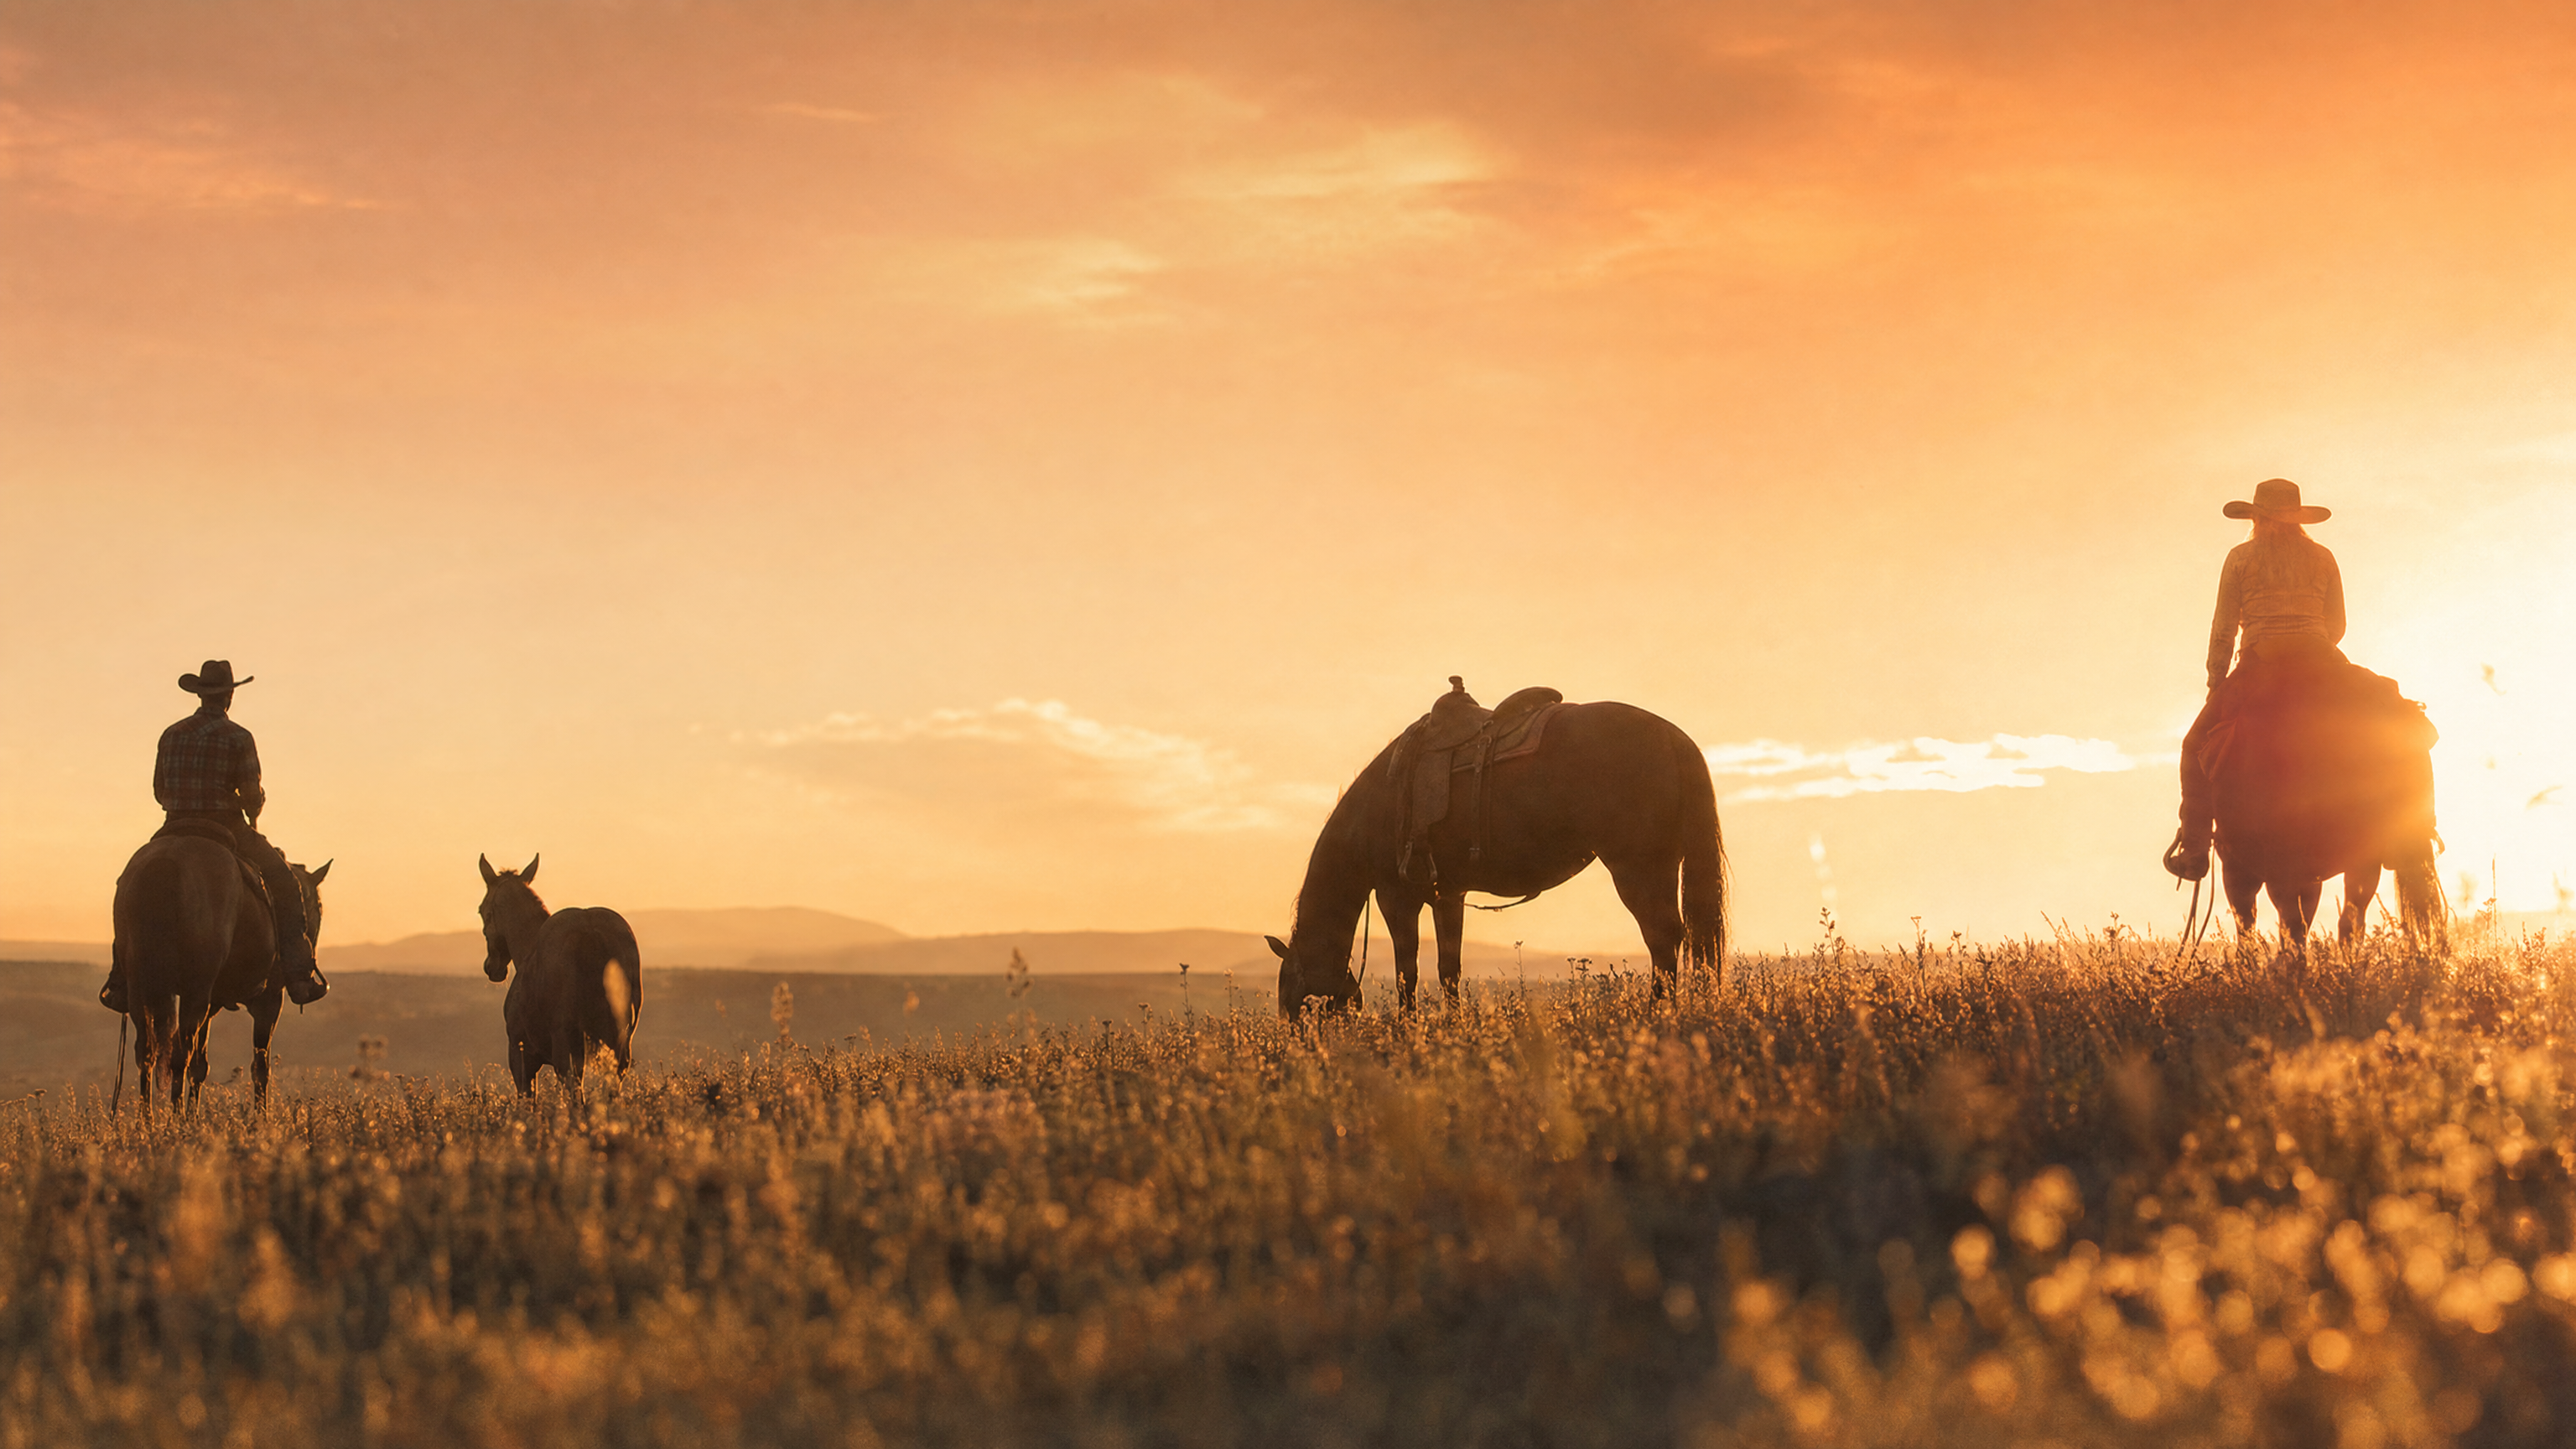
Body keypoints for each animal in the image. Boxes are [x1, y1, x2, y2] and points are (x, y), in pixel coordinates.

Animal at [111, 835, 328, 1112]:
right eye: (318, 906)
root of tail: (166, 863)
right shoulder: (268, 999)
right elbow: (260, 1066)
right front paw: (261, 1117)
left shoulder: (212, 1002)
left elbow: (200, 1066)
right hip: (195, 991)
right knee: (180, 1053)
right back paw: (176, 1117)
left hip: (142, 988)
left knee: (147, 1052)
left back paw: (148, 1119)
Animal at [475, 854, 642, 1096]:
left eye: (482, 910)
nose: (492, 967)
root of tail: (590, 931)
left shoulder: (520, 1055)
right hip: (617, 1045)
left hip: (568, 1046)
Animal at [1267, 694, 1725, 1016]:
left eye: (1292, 999)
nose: (1295, 1044)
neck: (1378, 804)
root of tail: (1674, 737)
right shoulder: (1447, 895)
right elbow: (1448, 970)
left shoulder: (1396, 896)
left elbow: (1406, 972)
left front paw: (1407, 1031)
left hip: (1638, 867)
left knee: (1662, 937)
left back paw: (1657, 1014)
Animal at [2206, 654, 2444, 947]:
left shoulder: (2237, 866)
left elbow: (2249, 926)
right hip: (2362, 853)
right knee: (2349, 918)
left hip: (2280, 855)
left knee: (2290, 916)